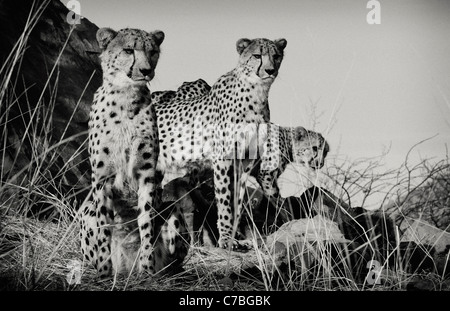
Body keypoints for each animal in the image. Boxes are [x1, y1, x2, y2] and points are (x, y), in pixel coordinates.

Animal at [79, 28, 188, 280]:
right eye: (129, 50)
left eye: (153, 51)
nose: (146, 70)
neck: (126, 97)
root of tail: (126, 267)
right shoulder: (102, 178)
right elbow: (103, 226)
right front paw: (104, 271)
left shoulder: (147, 175)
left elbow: (146, 222)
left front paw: (147, 268)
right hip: (85, 213)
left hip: (173, 211)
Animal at [151, 37, 286, 250]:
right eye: (257, 55)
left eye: (276, 55)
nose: (270, 70)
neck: (256, 93)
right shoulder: (222, 159)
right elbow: (224, 200)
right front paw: (226, 239)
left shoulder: (243, 162)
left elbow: (237, 201)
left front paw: (236, 237)